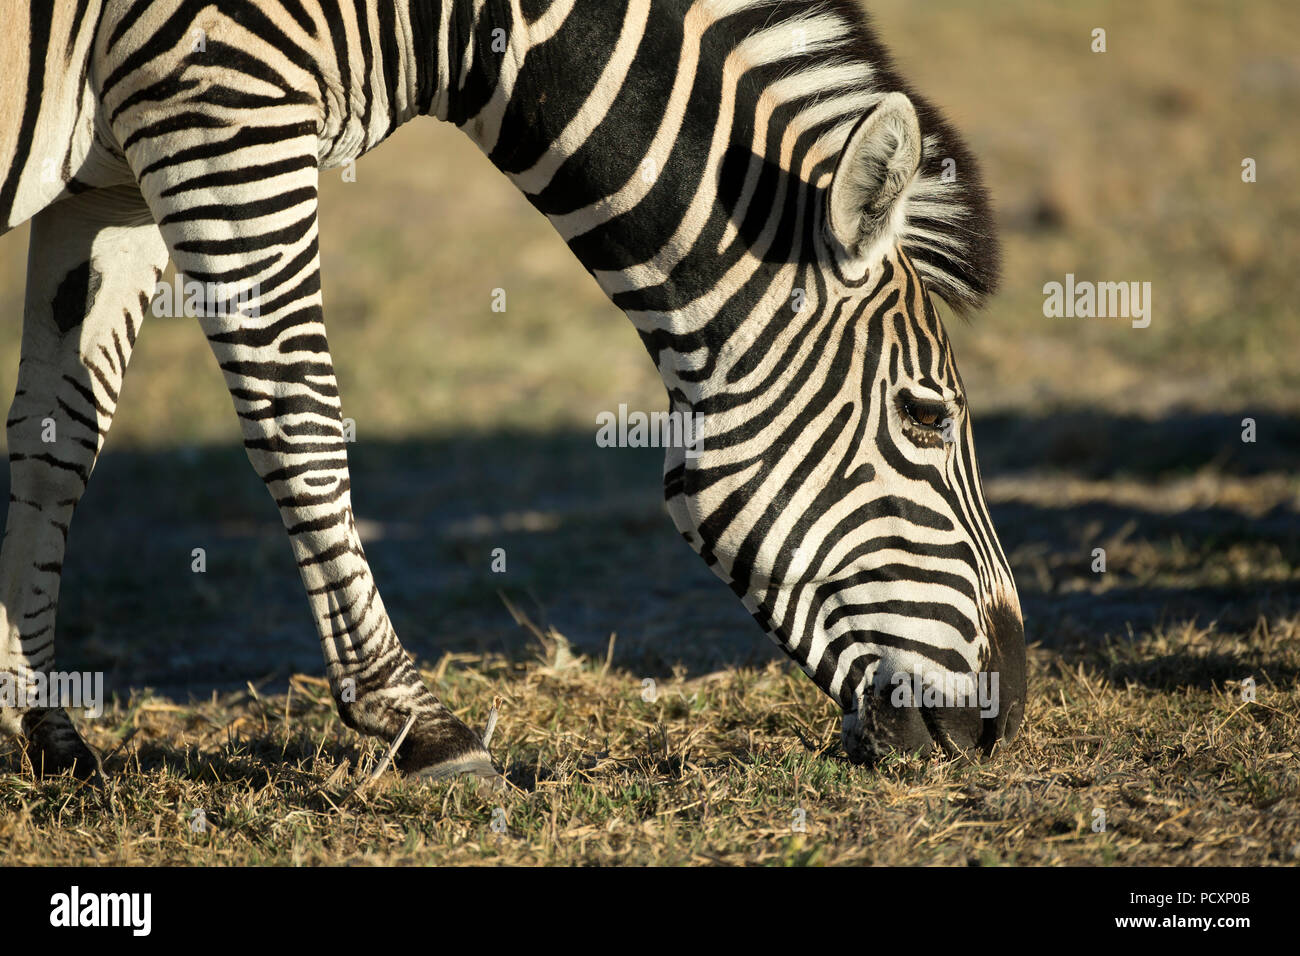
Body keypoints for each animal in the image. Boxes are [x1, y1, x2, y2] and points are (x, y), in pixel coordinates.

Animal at [0, 0, 1025, 782]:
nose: (1006, 715)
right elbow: (301, 415)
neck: (445, 21)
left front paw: (47, 733)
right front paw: (417, 723)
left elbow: (54, 445)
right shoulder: (217, 103)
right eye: (924, 417)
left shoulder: (113, 175)